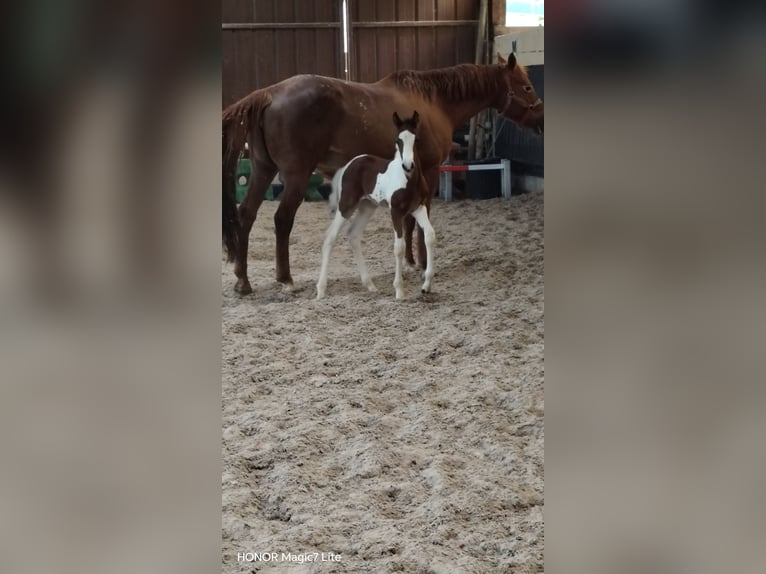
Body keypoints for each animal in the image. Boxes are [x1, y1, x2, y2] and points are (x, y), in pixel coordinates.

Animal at [316, 111, 434, 300]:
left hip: (367, 206)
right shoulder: (396, 211)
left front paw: (426, 286)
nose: (408, 165)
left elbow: (429, 235)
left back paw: (369, 285)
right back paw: (321, 290)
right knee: (330, 237)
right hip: (346, 206)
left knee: (353, 234)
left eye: (416, 139)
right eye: (398, 140)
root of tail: (348, 165)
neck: (409, 180)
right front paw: (399, 290)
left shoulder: (418, 207)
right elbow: (399, 247)